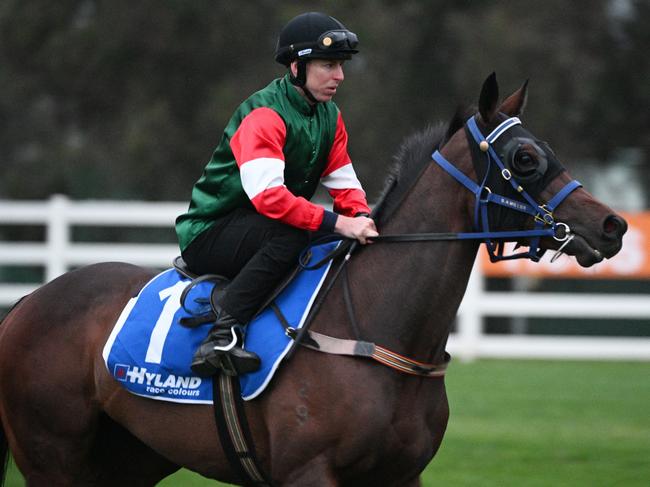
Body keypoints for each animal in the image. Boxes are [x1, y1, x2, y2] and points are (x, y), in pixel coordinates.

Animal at [0, 73, 624, 487]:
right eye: (524, 158)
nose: (613, 226)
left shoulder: (402, 476)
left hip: (127, 457)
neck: (372, 326)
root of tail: (28, 301)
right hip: (52, 455)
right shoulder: (309, 473)